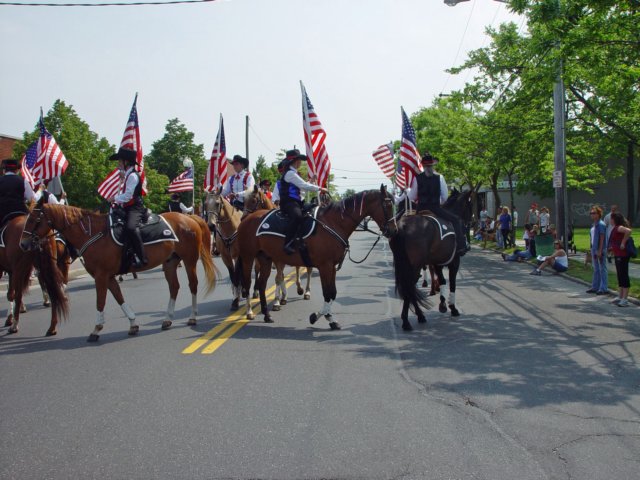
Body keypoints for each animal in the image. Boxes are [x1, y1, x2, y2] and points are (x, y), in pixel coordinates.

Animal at [20, 204, 218, 344]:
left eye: (34, 219)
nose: (23, 243)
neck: (93, 234)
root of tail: (190, 217)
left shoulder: (101, 276)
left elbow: (101, 301)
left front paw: (96, 329)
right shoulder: (108, 276)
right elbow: (119, 297)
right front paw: (133, 324)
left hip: (189, 260)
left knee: (192, 285)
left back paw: (192, 317)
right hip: (170, 262)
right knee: (174, 287)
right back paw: (167, 319)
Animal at [235, 186, 396, 328]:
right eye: (388, 204)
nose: (393, 230)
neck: (334, 222)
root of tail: (247, 220)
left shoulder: (332, 267)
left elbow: (333, 293)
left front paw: (328, 318)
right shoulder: (325, 266)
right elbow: (327, 293)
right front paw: (320, 317)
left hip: (265, 259)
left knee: (262, 284)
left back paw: (267, 315)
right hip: (248, 257)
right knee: (248, 283)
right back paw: (250, 312)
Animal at [388, 189, 472, 332]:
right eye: (470, 205)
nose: (472, 222)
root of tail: (403, 226)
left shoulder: (438, 262)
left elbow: (442, 280)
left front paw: (443, 304)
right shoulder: (454, 262)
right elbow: (452, 283)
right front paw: (453, 308)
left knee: (409, 288)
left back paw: (418, 316)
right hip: (414, 266)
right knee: (409, 288)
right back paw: (408, 320)